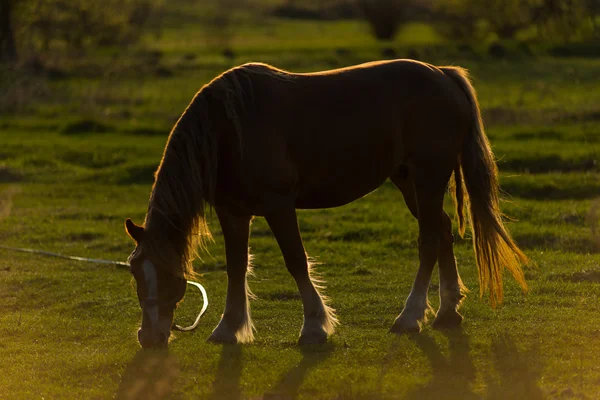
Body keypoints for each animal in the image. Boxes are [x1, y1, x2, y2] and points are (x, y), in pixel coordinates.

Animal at [124, 58, 528, 346]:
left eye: (165, 274)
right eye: (135, 272)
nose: (149, 337)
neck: (229, 129)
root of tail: (444, 75)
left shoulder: (278, 205)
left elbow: (296, 261)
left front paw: (315, 326)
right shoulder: (233, 212)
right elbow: (236, 267)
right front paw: (229, 328)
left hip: (428, 178)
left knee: (429, 239)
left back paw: (410, 317)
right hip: (409, 182)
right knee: (441, 230)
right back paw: (446, 312)